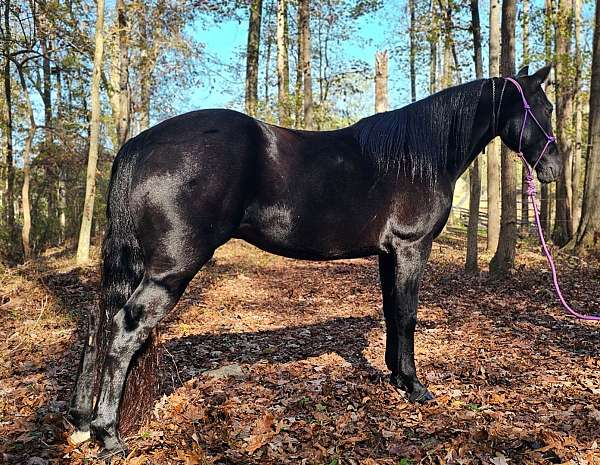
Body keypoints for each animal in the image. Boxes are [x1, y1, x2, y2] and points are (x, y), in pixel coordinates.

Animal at [68, 64, 560, 454]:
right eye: (544, 107)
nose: (553, 168)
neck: (416, 156)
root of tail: (140, 144)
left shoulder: (388, 254)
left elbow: (391, 312)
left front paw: (396, 377)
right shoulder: (410, 247)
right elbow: (407, 315)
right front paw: (416, 387)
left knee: (98, 325)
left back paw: (80, 420)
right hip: (171, 268)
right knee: (124, 329)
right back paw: (109, 435)